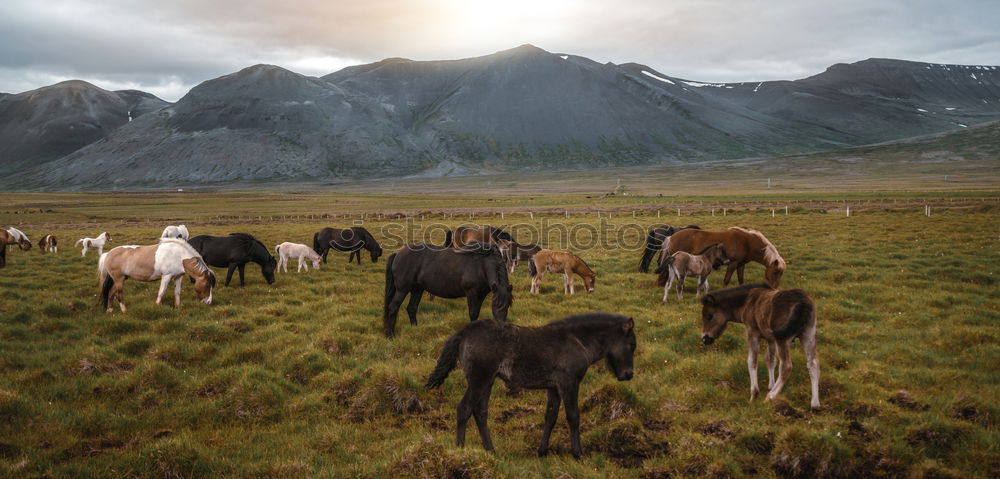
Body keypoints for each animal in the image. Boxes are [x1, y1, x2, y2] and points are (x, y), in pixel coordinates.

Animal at [380, 242, 512, 340]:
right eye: (495, 306)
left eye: (508, 306)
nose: (502, 330)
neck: (482, 264)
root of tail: (397, 254)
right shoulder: (472, 293)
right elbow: (473, 314)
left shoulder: (481, 295)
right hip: (402, 290)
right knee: (393, 308)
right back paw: (390, 336)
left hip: (417, 289)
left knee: (412, 308)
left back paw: (415, 329)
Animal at [426, 314, 636, 460]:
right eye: (631, 345)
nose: (628, 374)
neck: (576, 340)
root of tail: (463, 332)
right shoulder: (569, 383)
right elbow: (573, 416)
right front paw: (578, 453)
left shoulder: (553, 388)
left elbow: (550, 416)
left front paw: (542, 451)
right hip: (479, 379)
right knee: (464, 409)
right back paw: (460, 449)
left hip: (488, 381)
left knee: (480, 412)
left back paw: (491, 450)